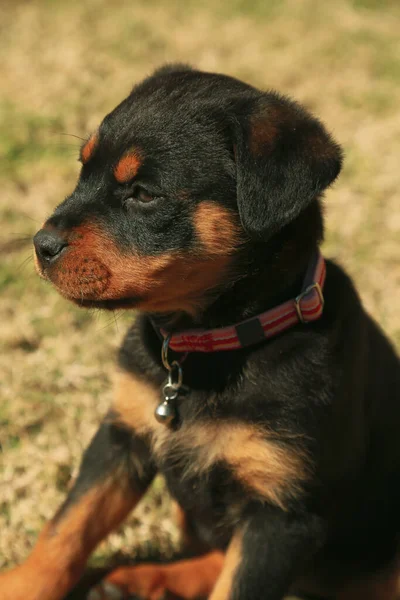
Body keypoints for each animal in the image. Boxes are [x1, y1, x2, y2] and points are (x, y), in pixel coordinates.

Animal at [0, 63, 400, 596]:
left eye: (144, 194)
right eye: (82, 171)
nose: (41, 244)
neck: (209, 344)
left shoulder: (283, 511)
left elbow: (237, 586)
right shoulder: (121, 435)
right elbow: (67, 526)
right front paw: (20, 587)